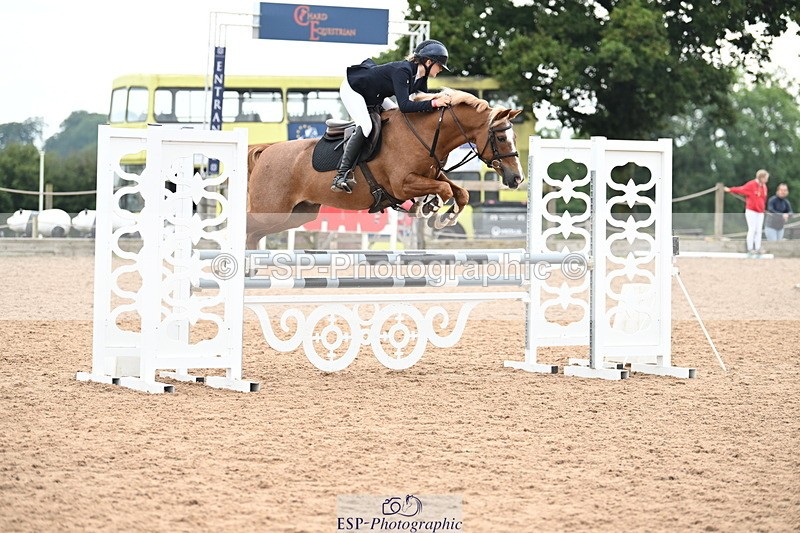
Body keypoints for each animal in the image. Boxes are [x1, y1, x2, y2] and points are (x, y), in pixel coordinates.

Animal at [245, 88, 524, 249]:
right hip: (272, 211)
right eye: (501, 138)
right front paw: (430, 209)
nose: (517, 178)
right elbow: (444, 191)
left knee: (254, 235)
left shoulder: (430, 174)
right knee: (247, 227)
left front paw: (444, 217)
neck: (424, 133)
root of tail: (265, 151)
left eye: (514, 137)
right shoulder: (403, 184)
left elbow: (460, 192)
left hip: (297, 214)